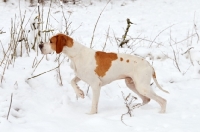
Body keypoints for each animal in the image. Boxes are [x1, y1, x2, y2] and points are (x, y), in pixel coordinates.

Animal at [39, 33, 169, 114]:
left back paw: (161, 113)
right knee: (147, 100)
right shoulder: (81, 76)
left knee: (162, 100)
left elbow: (94, 104)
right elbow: (72, 81)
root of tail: (150, 65)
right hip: (132, 84)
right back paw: (133, 109)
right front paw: (80, 93)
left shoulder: (96, 84)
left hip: (142, 87)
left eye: (51, 41)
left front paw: (91, 114)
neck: (76, 54)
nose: (40, 45)